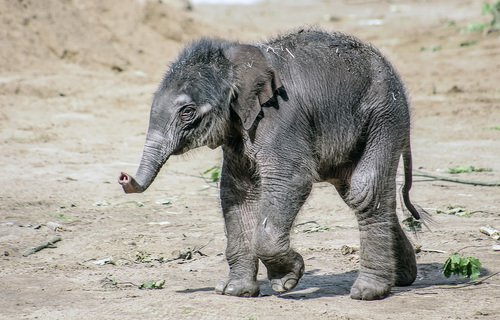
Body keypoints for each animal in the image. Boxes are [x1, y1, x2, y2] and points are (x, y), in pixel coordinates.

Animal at [120, 28, 426, 300]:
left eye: (187, 112)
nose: (123, 177)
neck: (236, 61)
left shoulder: (281, 118)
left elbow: (290, 180)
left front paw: (286, 281)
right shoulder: (239, 132)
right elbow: (236, 193)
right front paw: (234, 291)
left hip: (385, 118)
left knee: (365, 191)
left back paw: (368, 292)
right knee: (361, 195)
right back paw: (402, 277)